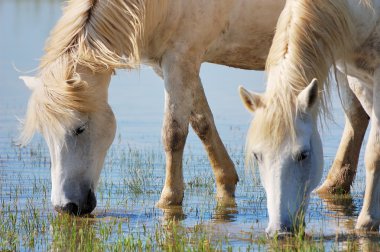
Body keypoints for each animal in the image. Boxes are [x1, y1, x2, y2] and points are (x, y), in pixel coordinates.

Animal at [19, 0, 364, 217]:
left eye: (79, 128)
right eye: (46, 135)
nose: (66, 207)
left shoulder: (180, 59)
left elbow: (173, 133)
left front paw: (168, 201)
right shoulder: (172, 66)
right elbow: (201, 123)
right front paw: (226, 182)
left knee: (357, 115)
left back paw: (334, 186)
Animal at [240, 0, 380, 236]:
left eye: (303, 155)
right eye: (257, 156)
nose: (279, 231)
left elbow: (374, 153)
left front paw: (367, 222)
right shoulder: (359, 80)